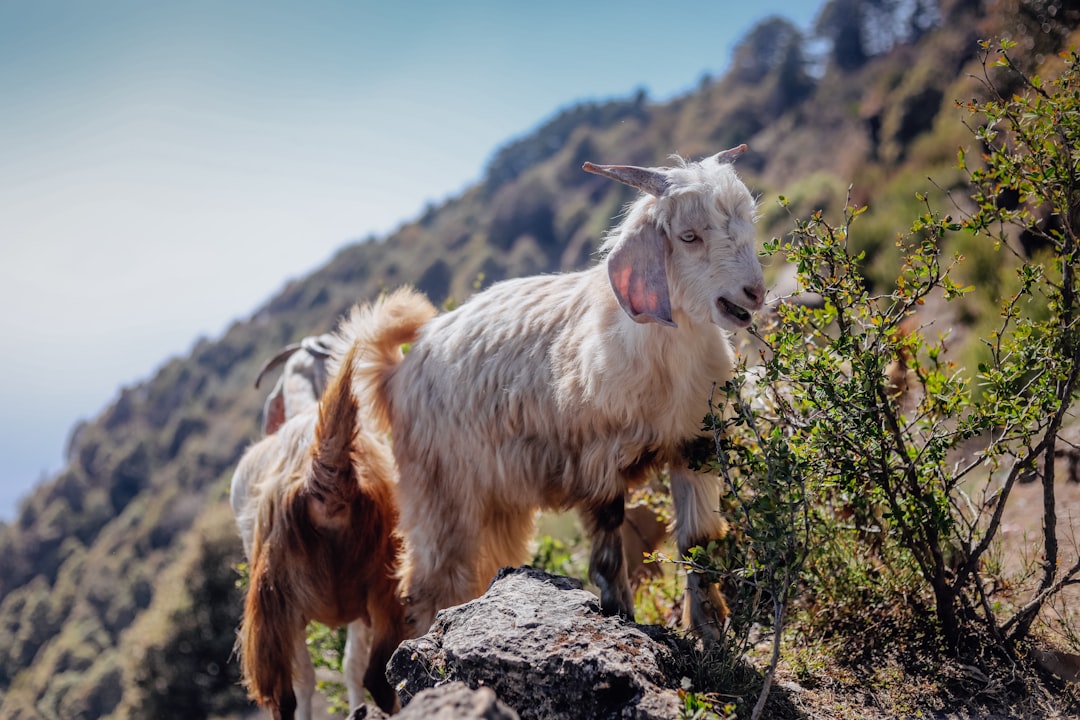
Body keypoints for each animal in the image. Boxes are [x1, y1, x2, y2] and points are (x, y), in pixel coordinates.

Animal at [230, 290, 435, 719]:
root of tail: (325, 481)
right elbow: (349, 666)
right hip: (381, 579)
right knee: (374, 674)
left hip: (277, 602)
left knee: (290, 694)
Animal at [351, 146, 765, 644]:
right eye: (689, 236)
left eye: (747, 221)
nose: (755, 292)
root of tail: (395, 373)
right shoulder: (597, 461)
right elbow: (607, 554)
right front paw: (620, 617)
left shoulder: (694, 446)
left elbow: (696, 543)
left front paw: (712, 633)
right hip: (440, 494)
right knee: (433, 581)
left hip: (497, 504)